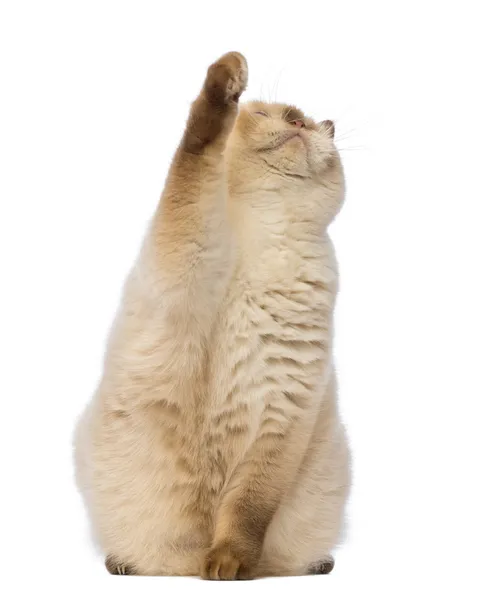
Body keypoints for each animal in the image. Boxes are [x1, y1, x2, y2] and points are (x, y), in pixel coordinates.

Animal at [75, 52, 350, 580]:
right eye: (271, 115)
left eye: (303, 124)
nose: (298, 124)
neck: (272, 227)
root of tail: (180, 569)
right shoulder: (187, 254)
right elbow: (194, 157)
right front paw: (227, 78)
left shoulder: (282, 412)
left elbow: (247, 511)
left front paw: (225, 567)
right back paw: (130, 566)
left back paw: (303, 566)